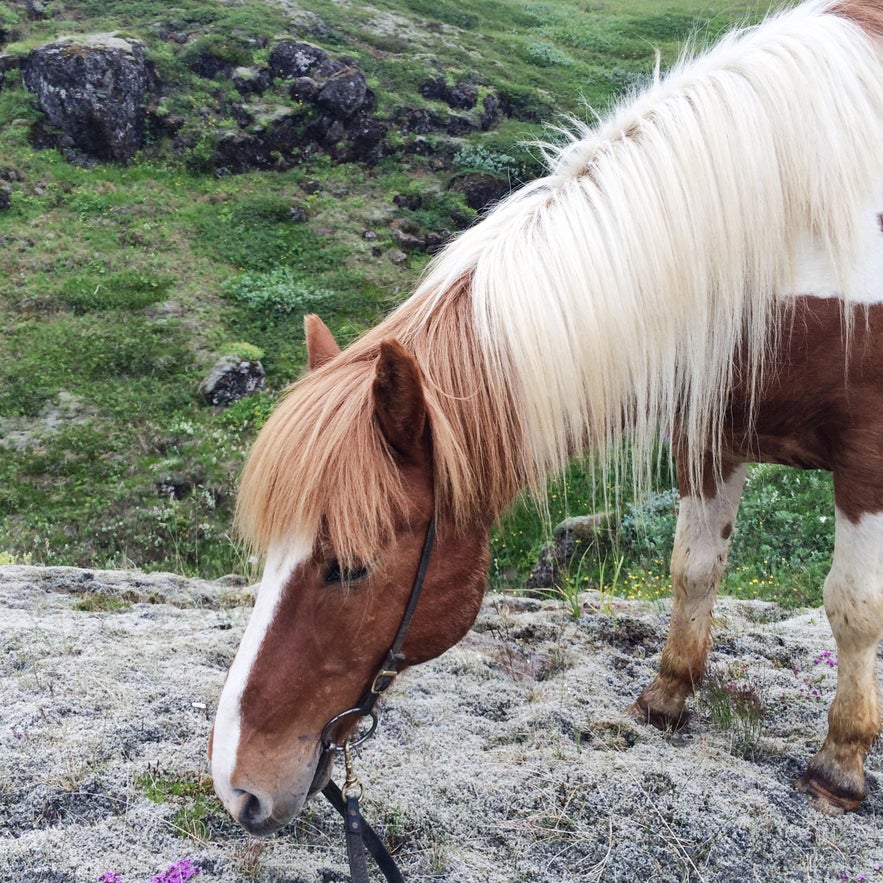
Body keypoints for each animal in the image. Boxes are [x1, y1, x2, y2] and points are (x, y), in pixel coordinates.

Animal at [211, 0, 883, 840]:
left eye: (350, 565)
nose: (236, 785)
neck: (797, 232)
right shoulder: (709, 434)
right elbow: (693, 566)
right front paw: (666, 695)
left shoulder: (866, 462)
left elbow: (853, 606)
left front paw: (840, 762)